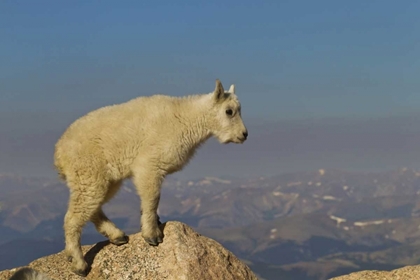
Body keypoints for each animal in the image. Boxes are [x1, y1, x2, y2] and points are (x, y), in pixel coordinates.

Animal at [53, 79, 248, 276]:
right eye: (229, 111)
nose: (244, 134)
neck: (187, 118)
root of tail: (59, 153)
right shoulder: (149, 164)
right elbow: (152, 198)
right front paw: (152, 235)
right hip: (88, 172)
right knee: (74, 216)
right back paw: (79, 264)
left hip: (106, 179)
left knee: (93, 207)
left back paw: (117, 236)